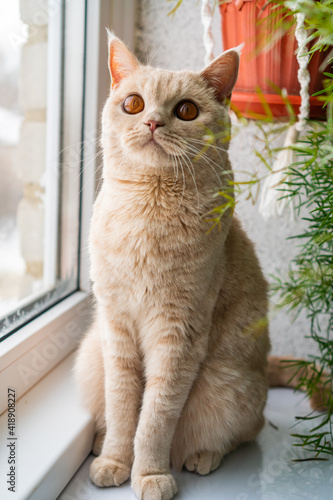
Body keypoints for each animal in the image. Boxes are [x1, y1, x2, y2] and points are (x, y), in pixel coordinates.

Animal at [74, 32, 280, 500]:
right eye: (133, 104)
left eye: (186, 110)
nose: (152, 123)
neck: (147, 210)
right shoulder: (115, 329)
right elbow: (123, 409)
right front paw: (115, 461)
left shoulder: (177, 336)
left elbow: (154, 419)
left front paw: (149, 475)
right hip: (91, 356)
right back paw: (99, 444)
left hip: (227, 384)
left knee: (244, 432)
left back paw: (202, 456)